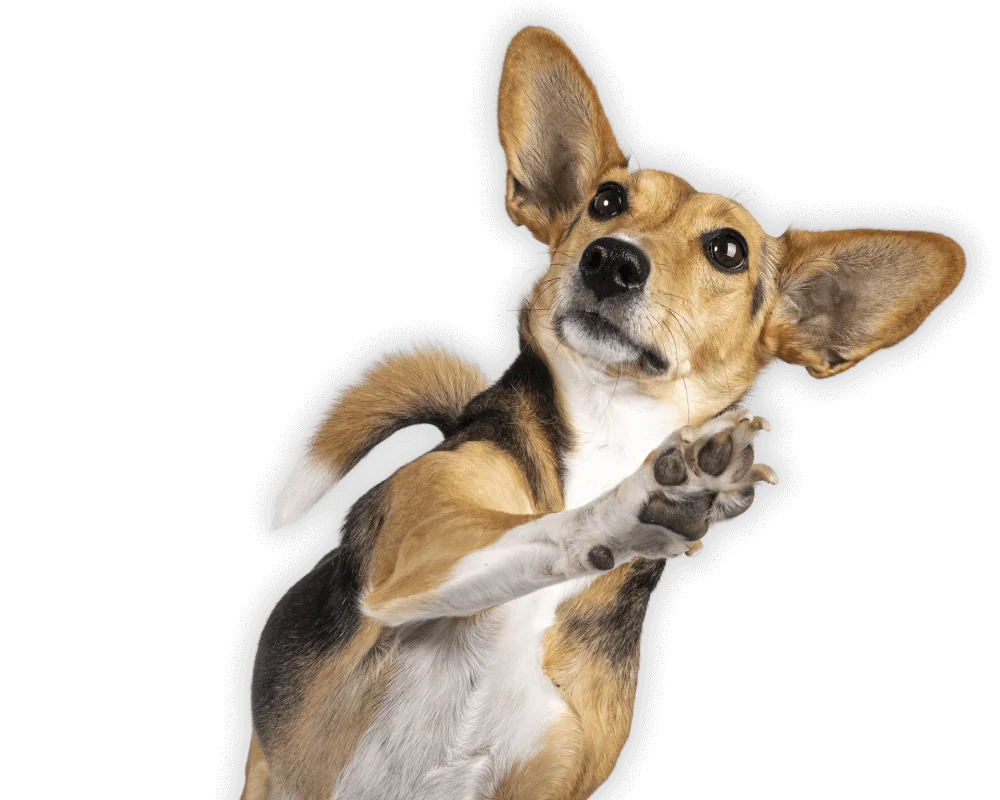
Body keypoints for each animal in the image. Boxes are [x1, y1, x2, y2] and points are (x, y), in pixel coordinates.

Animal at [240, 25, 960, 800]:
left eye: (727, 249)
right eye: (608, 202)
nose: (612, 259)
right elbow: (535, 530)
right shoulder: (419, 550)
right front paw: (646, 504)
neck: (610, 435)